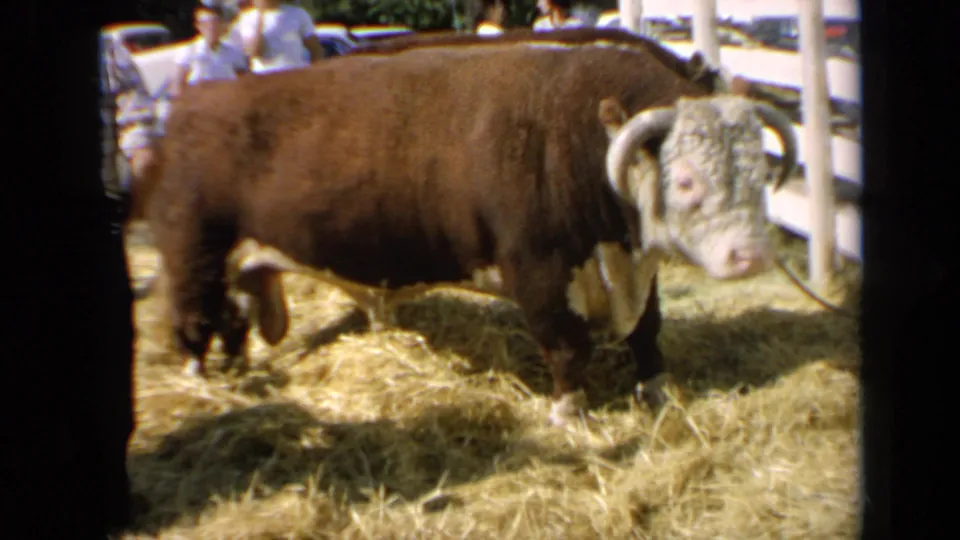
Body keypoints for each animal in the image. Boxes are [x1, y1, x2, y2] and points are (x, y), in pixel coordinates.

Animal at [147, 42, 797, 427]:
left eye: (760, 170)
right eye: (684, 181)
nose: (752, 255)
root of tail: (195, 101)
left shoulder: (630, 267)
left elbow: (647, 332)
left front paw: (658, 392)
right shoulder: (537, 271)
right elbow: (567, 348)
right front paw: (570, 415)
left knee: (230, 321)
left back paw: (237, 373)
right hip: (193, 254)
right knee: (194, 323)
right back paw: (203, 391)